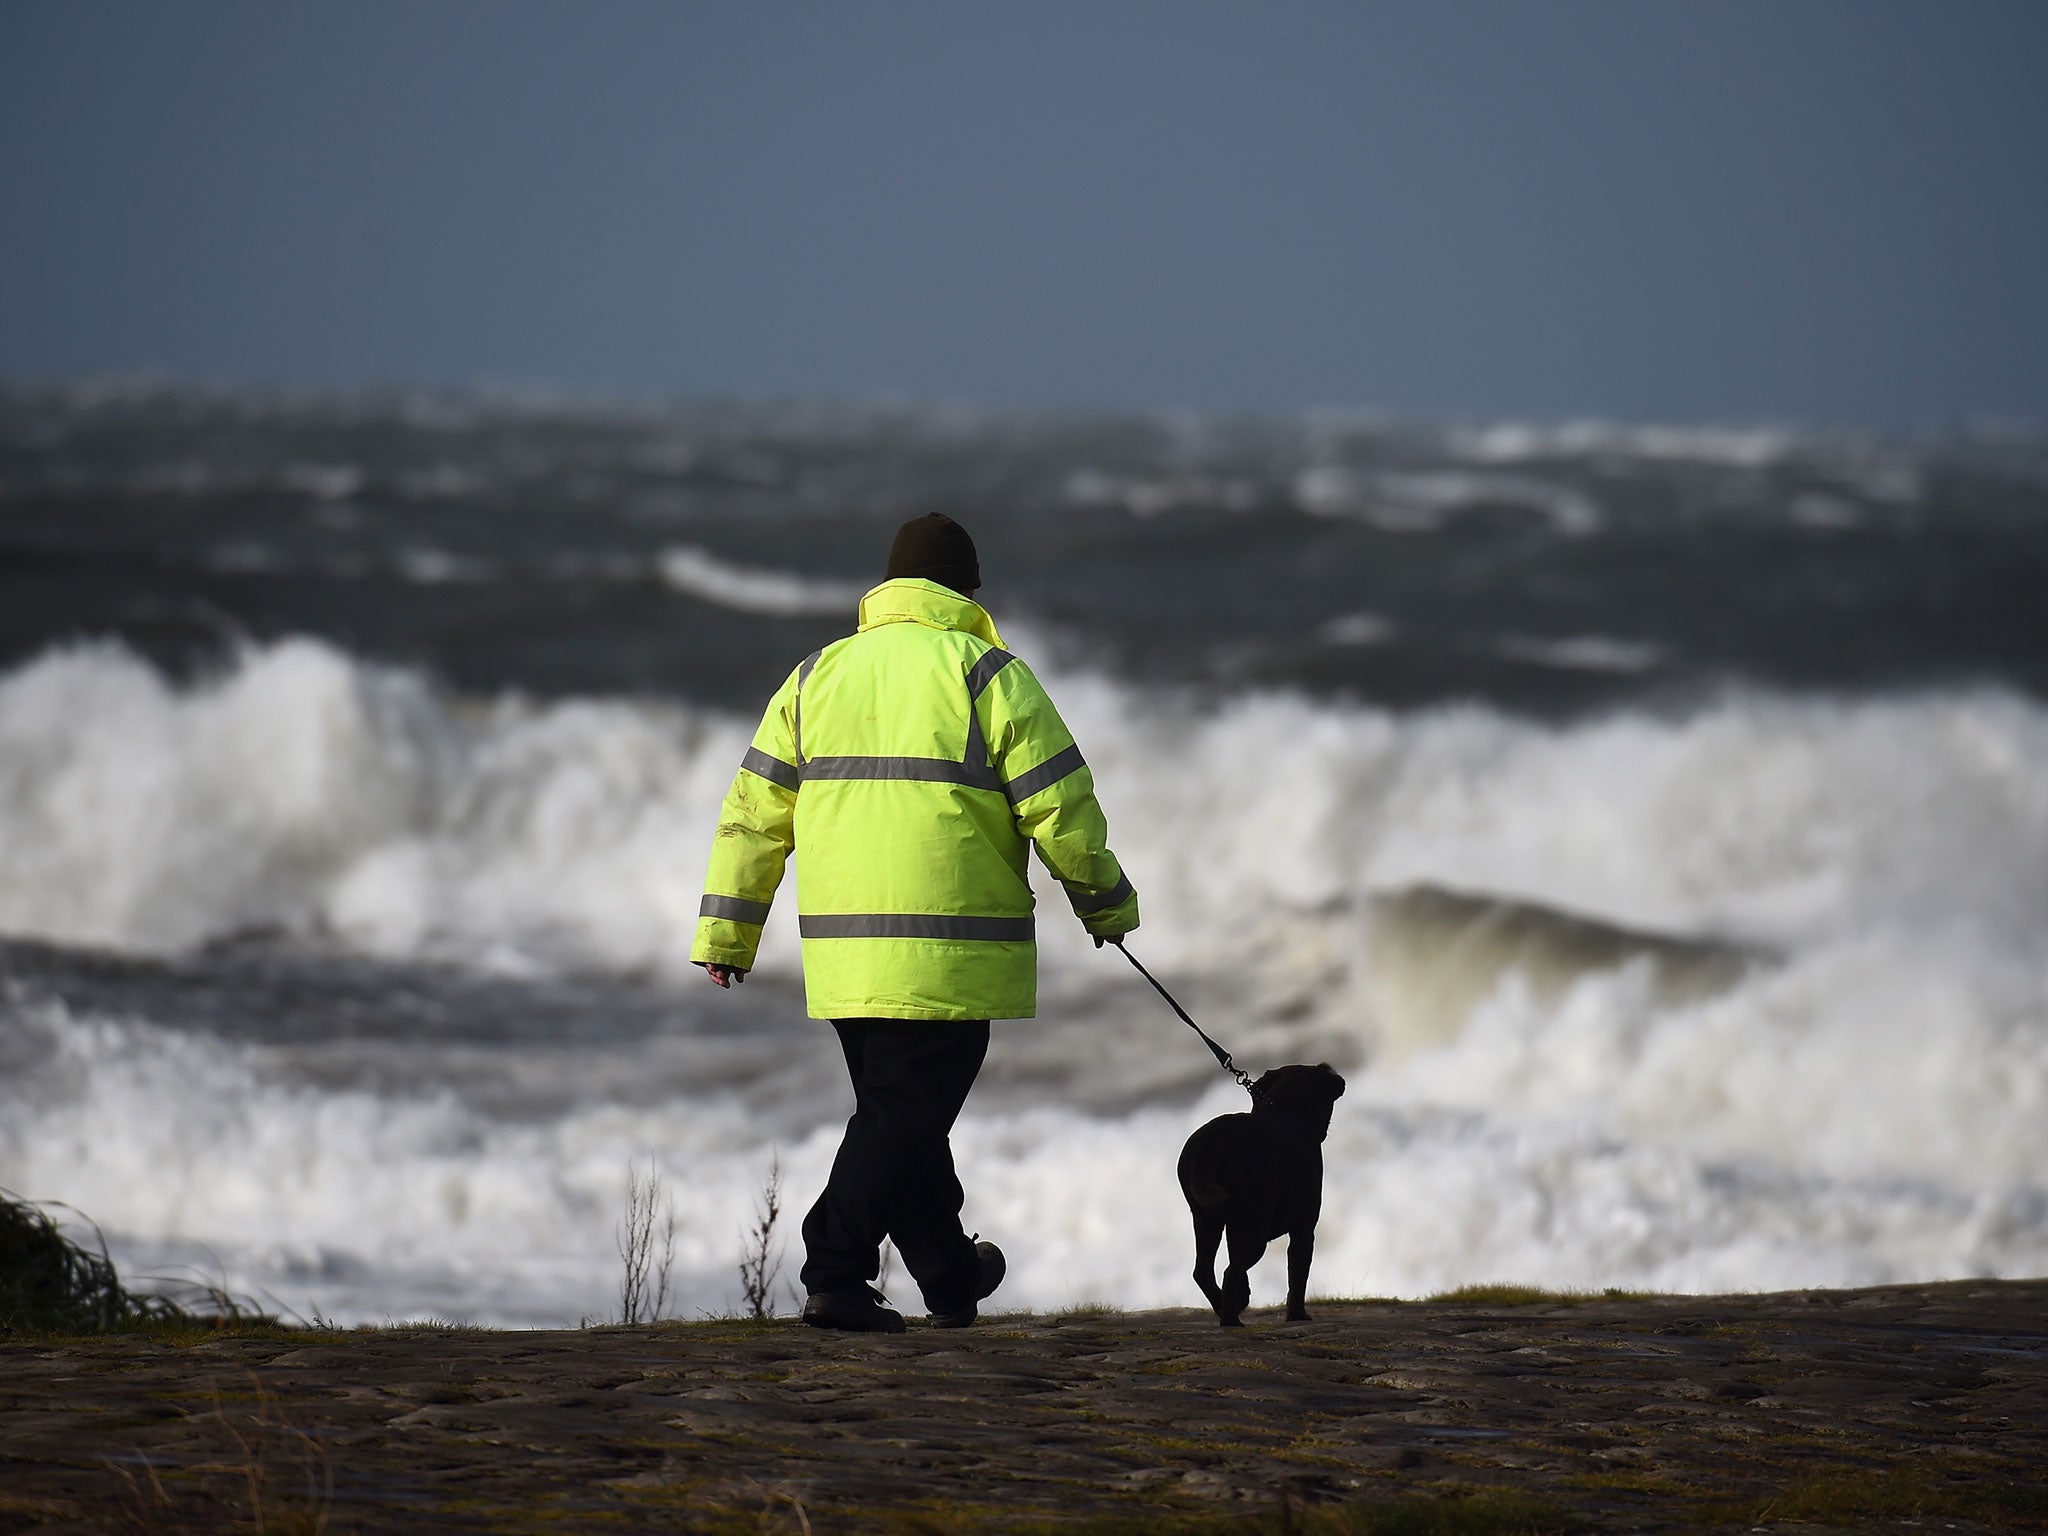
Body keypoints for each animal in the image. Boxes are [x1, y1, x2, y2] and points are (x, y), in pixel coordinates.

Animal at [1187, 1064, 1343, 1327]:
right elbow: (1297, 1277)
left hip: (1206, 1220)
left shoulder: (1235, 1229)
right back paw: (1231, 1319)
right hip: (1255, 1231)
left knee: (1204, 1271)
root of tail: (1210, 1149)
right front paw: (1297, 1315)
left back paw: (1226, 1306)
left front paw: (1244, 1294)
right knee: (1230, 1272)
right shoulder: (1304, 1229)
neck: (1287, 1109)